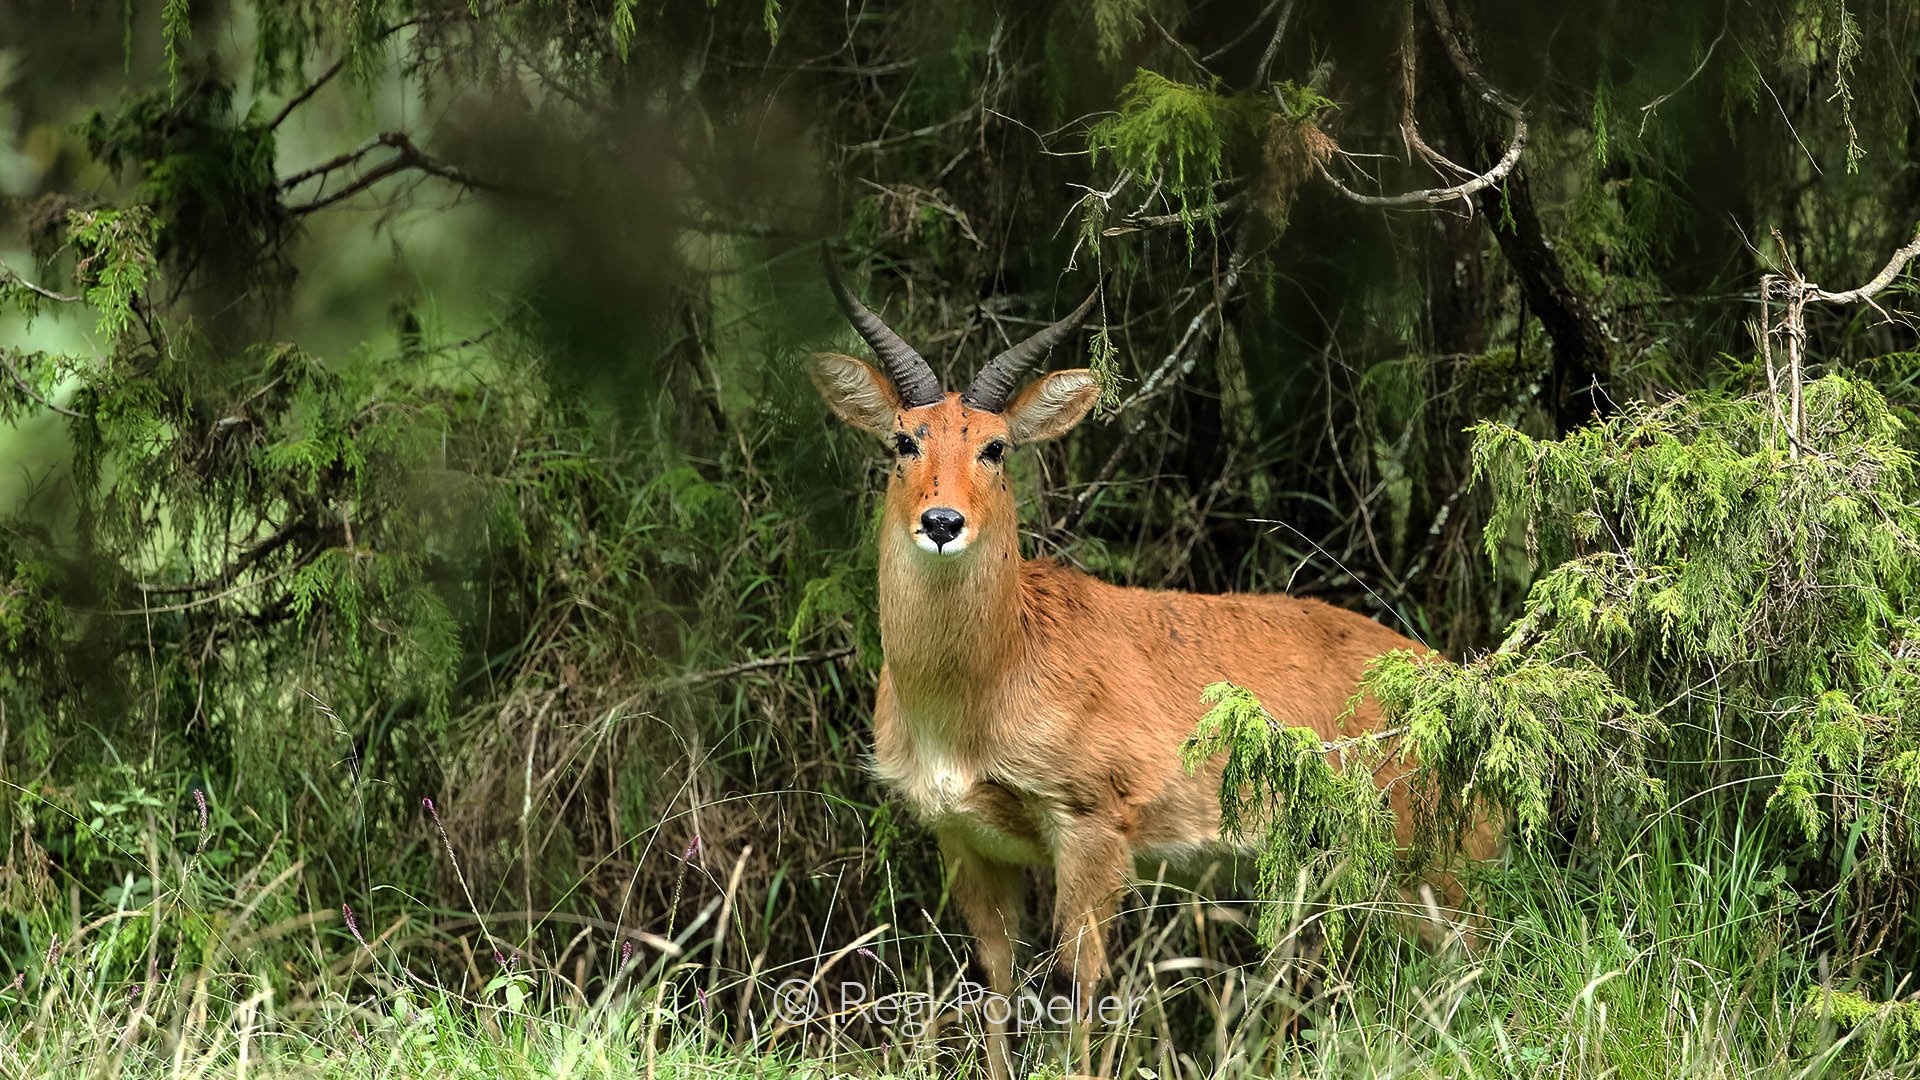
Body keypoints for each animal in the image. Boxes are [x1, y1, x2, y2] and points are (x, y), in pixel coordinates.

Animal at [810, 252, 1503, 1079]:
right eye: (902, 441)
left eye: (996, 445)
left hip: (1435, 863)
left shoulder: (1093, 826)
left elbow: (1078, 986)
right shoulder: (965, 838)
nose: (942, 522)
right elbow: (996, 983)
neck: (986, 687)